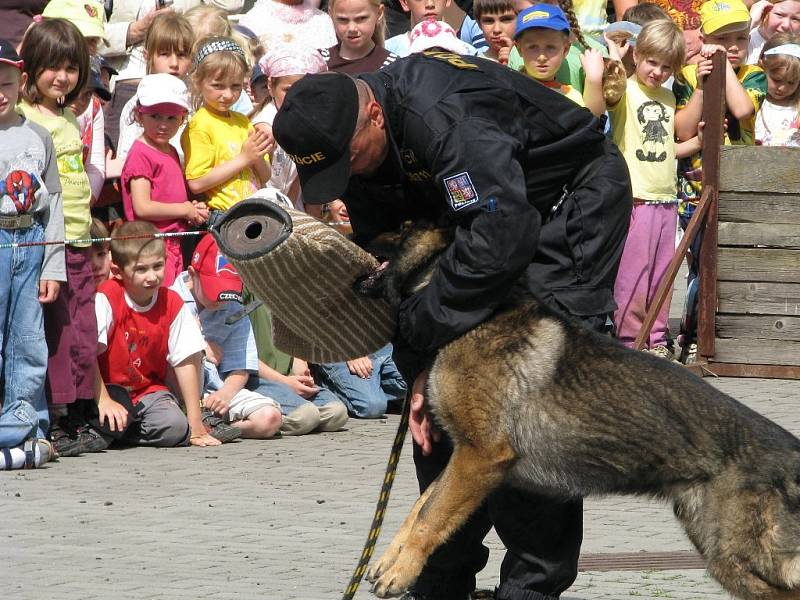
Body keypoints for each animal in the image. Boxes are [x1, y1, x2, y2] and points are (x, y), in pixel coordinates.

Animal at [360, 224, 800, 600]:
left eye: (401, 228)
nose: (355, 228)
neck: (476, 314)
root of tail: (790, 456)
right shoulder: (466, 461)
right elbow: (421, 507)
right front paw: (389, 561)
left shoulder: (479, 458)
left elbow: (431, 517)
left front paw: (401, 571)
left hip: (735, 556)